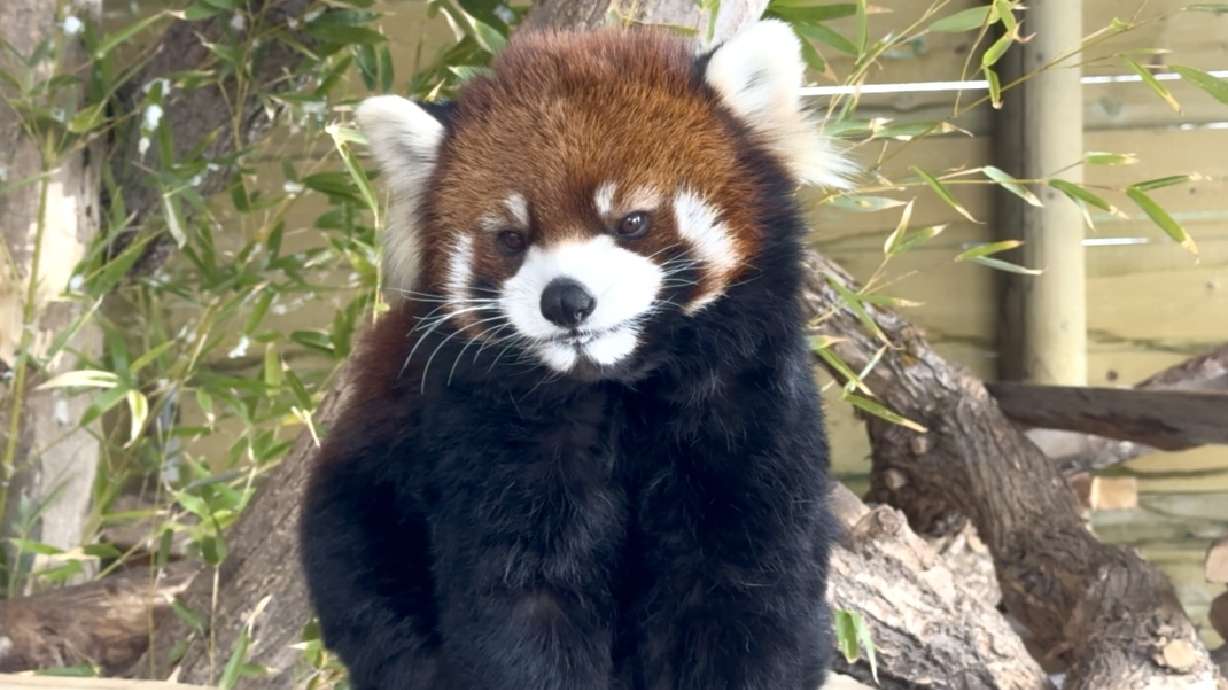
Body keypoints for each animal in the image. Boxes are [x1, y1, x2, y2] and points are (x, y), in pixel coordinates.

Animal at [300, 18, 851, 690]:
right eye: (511, 239)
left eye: (632, 221)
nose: (565, 300)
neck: (616, 385)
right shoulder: (491, 438)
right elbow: (524, 603)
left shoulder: (750, 414)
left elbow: (748, 594)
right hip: (363, 509)